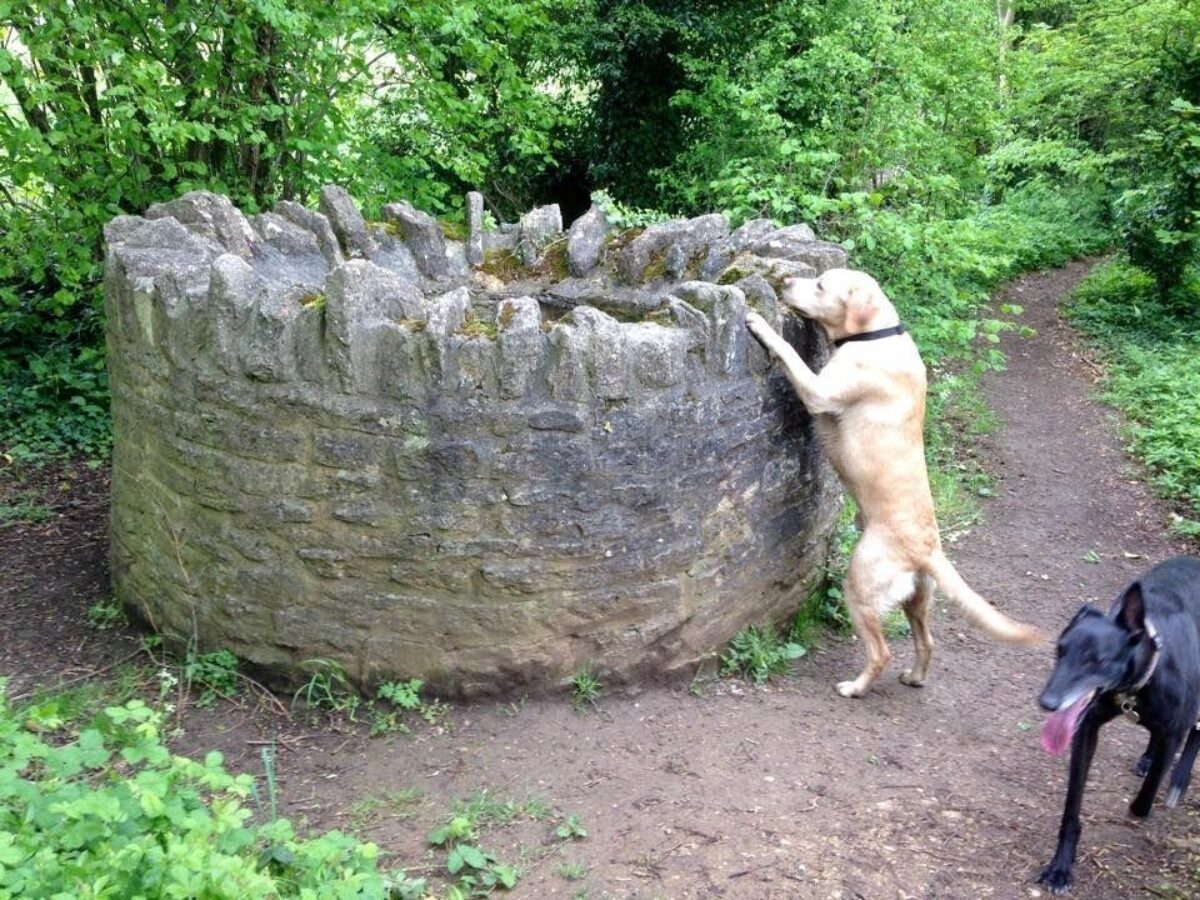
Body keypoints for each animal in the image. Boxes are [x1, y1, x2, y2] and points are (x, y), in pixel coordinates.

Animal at [739, 267, 1041, 696]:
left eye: (820, 285)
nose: (785, 282)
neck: (877, 334)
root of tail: (927, 550)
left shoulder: (818, 390)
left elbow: (788, 351)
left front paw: (759, 322)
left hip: (860, 585)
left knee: (881, 652)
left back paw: (854, 687)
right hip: (917, 601)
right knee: (926, 641)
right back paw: (914, 677)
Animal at [1032, 556, 1200, 897]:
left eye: (1098, 660)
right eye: (1059, 651)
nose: (1048, 703)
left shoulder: (1175, 731)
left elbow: (1145, 799)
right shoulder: (1086, 730)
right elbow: (1072, 807)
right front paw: (1060, 868)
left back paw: (1179, 778)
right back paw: (1148, 757)